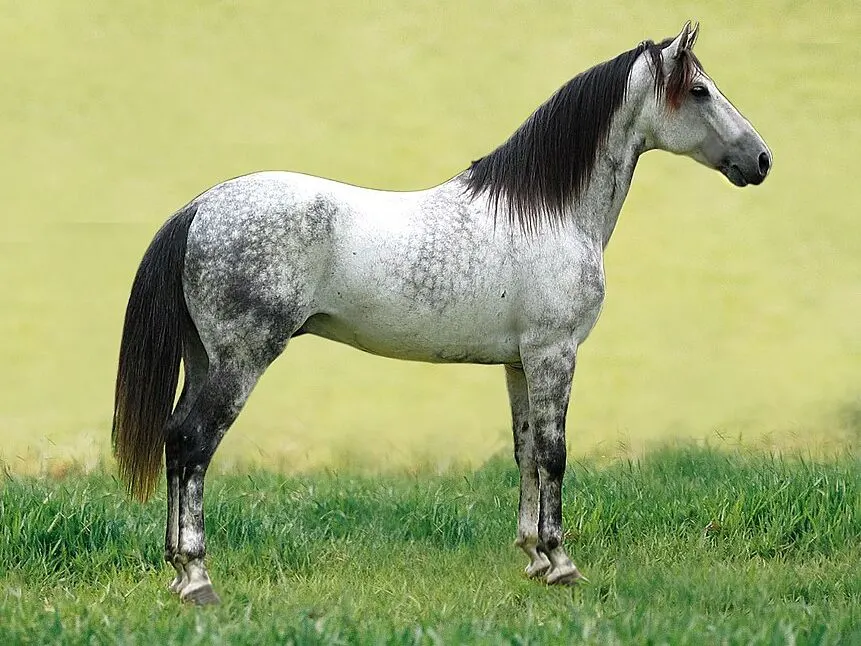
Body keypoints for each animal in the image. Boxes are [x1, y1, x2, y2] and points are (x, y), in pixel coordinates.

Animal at [112, 22, 771, 605]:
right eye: (699, 90)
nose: (762, 160)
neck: (550, 212)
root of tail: (200, 208)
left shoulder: (519, 362)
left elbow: (526, 453)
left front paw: (534, 557)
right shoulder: (553, 354)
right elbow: (555, 453)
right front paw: (561, 563)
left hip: (204, 359)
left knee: (175, 439)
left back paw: (176, 571)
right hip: (240, 362)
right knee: (194, 444)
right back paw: (197, 577)